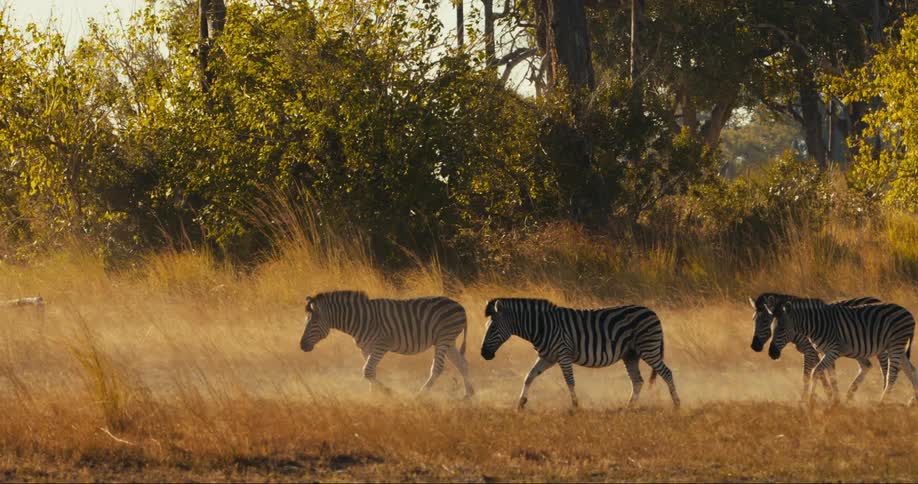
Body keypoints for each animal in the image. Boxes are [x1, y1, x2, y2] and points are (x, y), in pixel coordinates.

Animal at [299, 291, 474, 398]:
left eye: (313, 322)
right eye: (306, 320)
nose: (301, 346)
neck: (359, 319)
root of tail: (460, 307)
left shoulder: (381, 346)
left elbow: (367, 371)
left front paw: (388, 392)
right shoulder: (366, 348)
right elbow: (370, 372)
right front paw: (373, 396)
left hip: (444, 338)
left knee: (438, 368)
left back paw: (420, 395)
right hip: (447, 341)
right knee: (463, 364)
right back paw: (468, 395)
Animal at [480, 298, 680, 410]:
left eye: (493, 328)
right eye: (487, 327)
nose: (483, 354)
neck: (541, 326)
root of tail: (653, 312)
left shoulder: (563, 354)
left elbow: (569, 381)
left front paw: (575, 406)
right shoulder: (547, 357)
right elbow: (529, 376)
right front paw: (521, 403)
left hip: (648, 348)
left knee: (667, 373)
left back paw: (676, 405)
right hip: (630, 354)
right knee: (637, 381)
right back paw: (628, 407)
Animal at [749, 293, 883, 400]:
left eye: (765, 321)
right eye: (754, 320)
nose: (754, 346)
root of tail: (878, 300)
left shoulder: (810, 351)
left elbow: (807, 375)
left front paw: (806, 399)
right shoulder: (816, 352)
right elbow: (824, 374)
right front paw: (829, 395)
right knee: (867, 366)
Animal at [768, 298, 918, 405]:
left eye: (782, 329)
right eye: (771, 329)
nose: (771, 353)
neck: (815, 325)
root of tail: (908, 313)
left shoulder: (832, 350)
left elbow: (815, 371)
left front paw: (811, 400)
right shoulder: (824, 351)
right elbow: (831, 375)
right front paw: (835, 400)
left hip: (895, 344)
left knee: (891, 374)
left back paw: (882, 402)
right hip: (896, 347)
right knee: (911, 370)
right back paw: (914, 399)